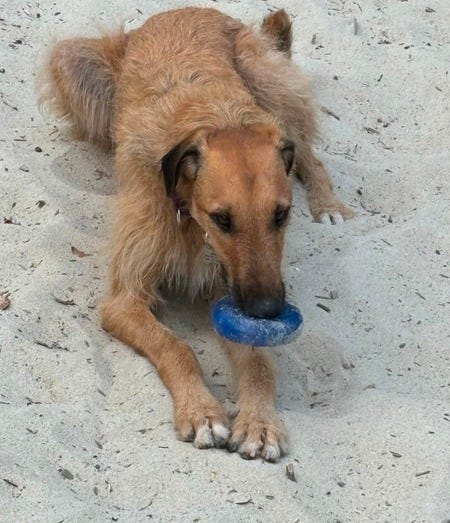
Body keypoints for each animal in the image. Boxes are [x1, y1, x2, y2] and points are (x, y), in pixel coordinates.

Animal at [41, 7, 353, 462]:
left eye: (281, 214)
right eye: (222, 219)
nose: (268, 310)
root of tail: (184, 10)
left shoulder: (235, 294)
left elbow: (258, 365)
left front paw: (259, 422)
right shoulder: (125, 300)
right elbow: (177, 347)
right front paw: (202, 410)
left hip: (269, 82)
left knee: (308, 151)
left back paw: (329, 204)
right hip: (69, 61)